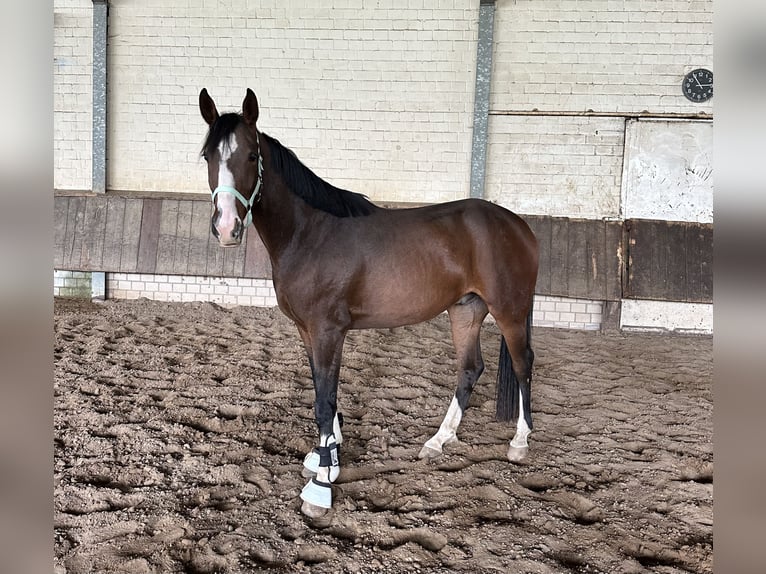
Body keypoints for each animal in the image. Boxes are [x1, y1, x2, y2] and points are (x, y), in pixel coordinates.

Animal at [198, 88, 539, 518]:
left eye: (249, 156)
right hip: (466, 310)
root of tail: (520, 225)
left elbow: (324, 399)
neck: (311, 233)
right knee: (469, 369)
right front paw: (325, 456)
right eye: (207, 156)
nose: (226, 227)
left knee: (523, 364)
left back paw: (519, 443)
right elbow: (322, 390)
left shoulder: (328, 330)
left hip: (509, 311)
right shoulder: (307, 329)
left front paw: (320, 487)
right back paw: (437, 441)